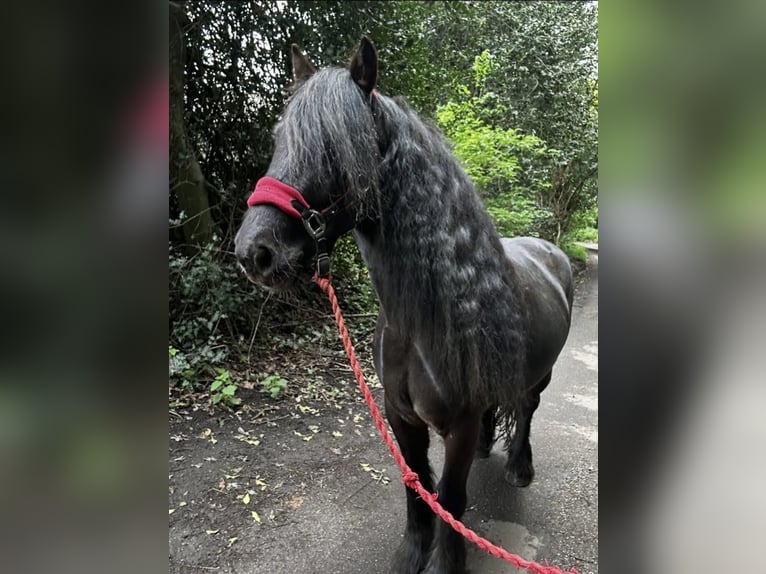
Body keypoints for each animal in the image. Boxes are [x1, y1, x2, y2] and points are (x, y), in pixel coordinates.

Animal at [234, 37, 574, 574]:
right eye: (278, 138)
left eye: (337, 145)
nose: (255, 253)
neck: (423, 323)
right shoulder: (400, 416)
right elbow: (417, 489)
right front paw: (412, 554)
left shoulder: (455, 426)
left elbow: (451, 498)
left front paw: (444, 563)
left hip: (539, 376)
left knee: (526, 409)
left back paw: (520, 465)